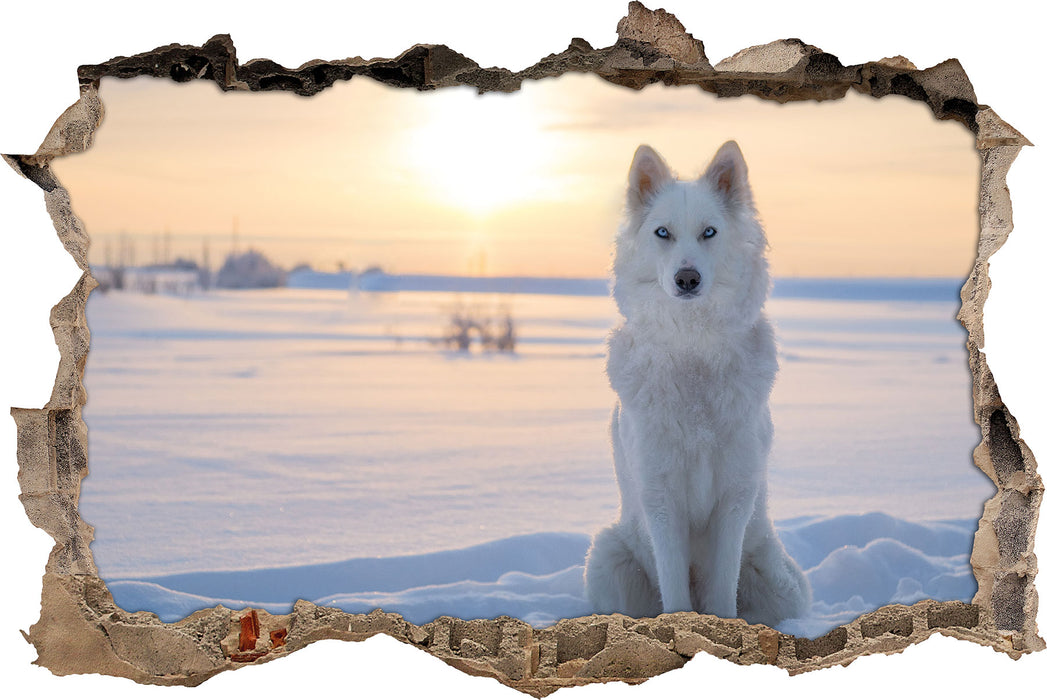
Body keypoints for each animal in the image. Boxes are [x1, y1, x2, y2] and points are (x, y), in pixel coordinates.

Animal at [583, 142, 810, 626]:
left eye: (709, 232)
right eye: (662, 233)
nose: (687, 279)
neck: (694, 349)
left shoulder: (735, 496)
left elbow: (722, 590)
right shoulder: (660, 498)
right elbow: (675, 589)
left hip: (781, 583)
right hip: (607, 558)